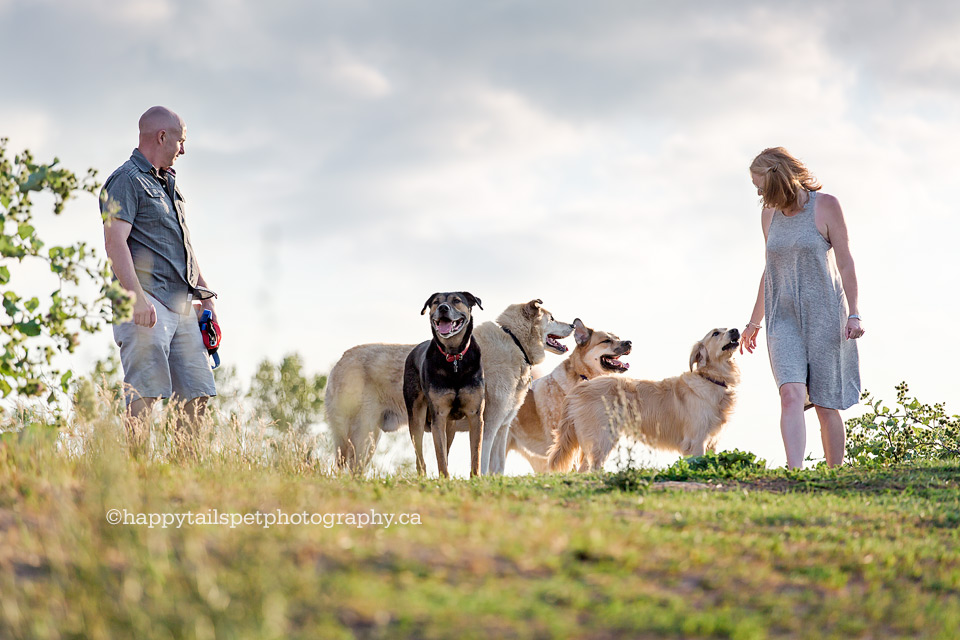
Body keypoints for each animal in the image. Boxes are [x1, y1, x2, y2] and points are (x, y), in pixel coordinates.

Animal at [404, 292, 484, 478]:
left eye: (457, 300)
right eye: (435, 302)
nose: (443, 308)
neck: (454, 357)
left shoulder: (475, 414)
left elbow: (475, 453)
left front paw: (475, 478)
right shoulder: (438, 415)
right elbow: (440, 454)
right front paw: (444, 479)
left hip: (451, 426)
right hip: (416, 417)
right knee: (420, 455)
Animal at [548, 328, 744, 472]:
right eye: (716, 333)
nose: (735, 330)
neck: (711, 379)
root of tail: (579, 388)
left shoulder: (712, 442)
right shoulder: (696, 441)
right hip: (602, 438)